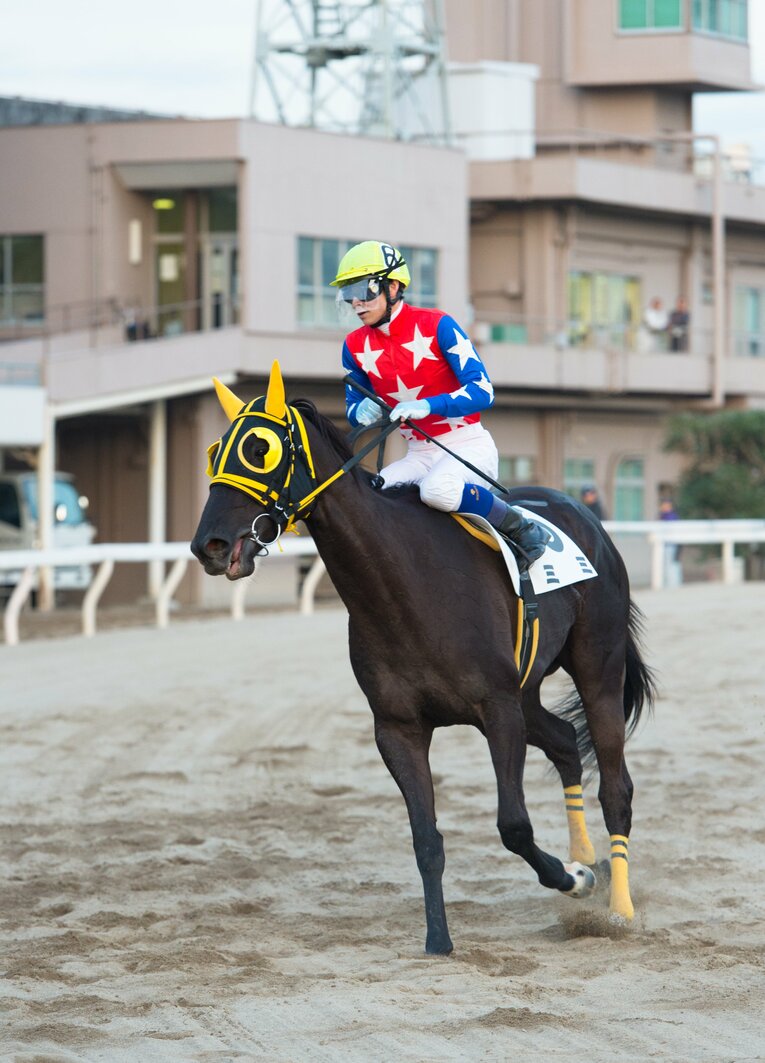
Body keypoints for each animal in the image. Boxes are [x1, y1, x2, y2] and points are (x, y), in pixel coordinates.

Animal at [191, 362, 655, 955]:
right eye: (213, 451)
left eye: (259, 449)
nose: (209, 545)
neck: (405, 585)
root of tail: (587, 517)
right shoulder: (399, 726)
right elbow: (425, 837)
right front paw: (439, 937)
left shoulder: (497, 710)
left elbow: (513, 825)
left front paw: (569, 878)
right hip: (528, 691)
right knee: (566, 742)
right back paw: (585, 856)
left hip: (598, 665)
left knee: (615, 784)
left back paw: (617, 905)